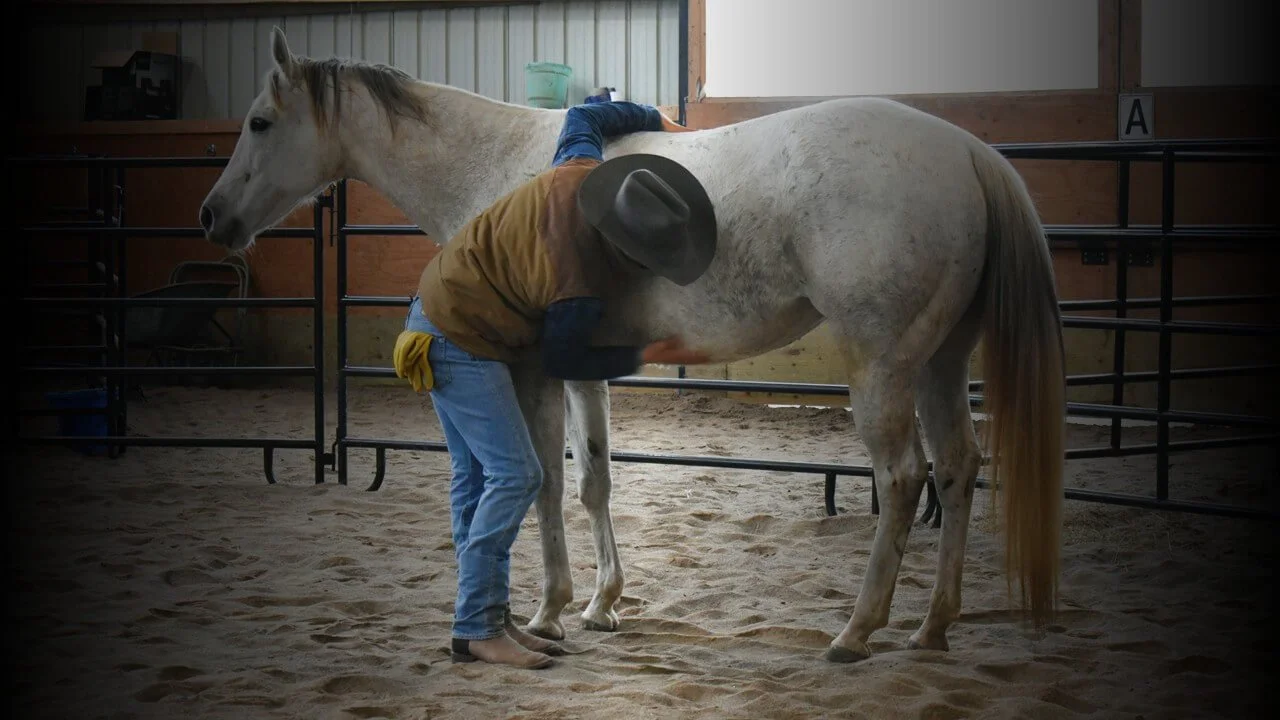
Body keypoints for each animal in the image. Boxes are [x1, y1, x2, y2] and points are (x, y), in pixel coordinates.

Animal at [199, 28, 1065, 663]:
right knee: (957, 469)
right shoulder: (584, 372)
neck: (509, 164)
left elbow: (547, 483)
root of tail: (969, 153)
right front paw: (601, 604)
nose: (212, 217)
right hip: (939, 362)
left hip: (883, 369)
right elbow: (595, 481)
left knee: (905, 476)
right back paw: (931, 629)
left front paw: (548, 612)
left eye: (261, 122)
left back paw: (856, 632)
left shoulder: (535, 369)